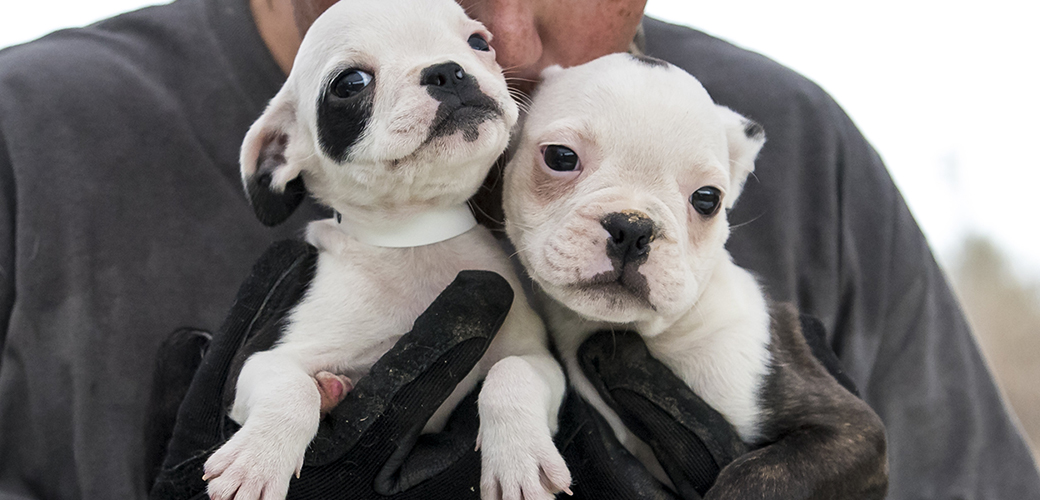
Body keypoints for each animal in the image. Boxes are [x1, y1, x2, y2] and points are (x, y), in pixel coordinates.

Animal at [200, 0, 569, 498]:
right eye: (351, 83)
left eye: (478, 43)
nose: (447, 71)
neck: (414, 236)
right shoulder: (265, 361)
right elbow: (291, 391)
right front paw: (257, 459)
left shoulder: (535, 357)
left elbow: (511, 374)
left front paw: (520, 459)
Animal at [501, 52, 886, 496]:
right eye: (561, 158)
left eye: (707, 199)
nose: (632, 228)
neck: (657, 336)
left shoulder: (850, 428)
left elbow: (752, 477)